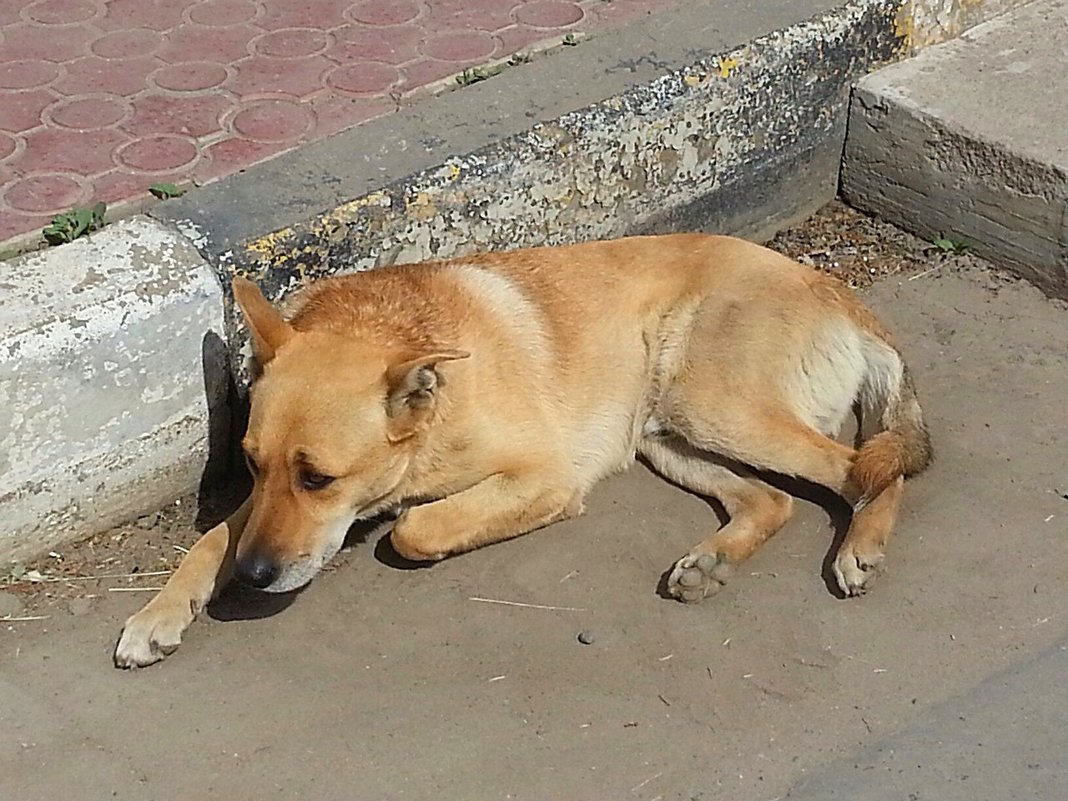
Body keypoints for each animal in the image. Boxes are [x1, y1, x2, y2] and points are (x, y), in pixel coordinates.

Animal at [114, 233, 927, 670]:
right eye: (251, 464)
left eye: (320, 478)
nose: (255, 578)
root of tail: (837, 290)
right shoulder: (256, 509)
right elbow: (210, 541)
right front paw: (159, 613)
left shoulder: (546, 476)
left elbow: (415, 528)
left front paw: (401, 524)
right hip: (668, 433)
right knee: (773, 498)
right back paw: (712, 560)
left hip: (711, 405)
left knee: (863, 469)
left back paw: (862, 546)